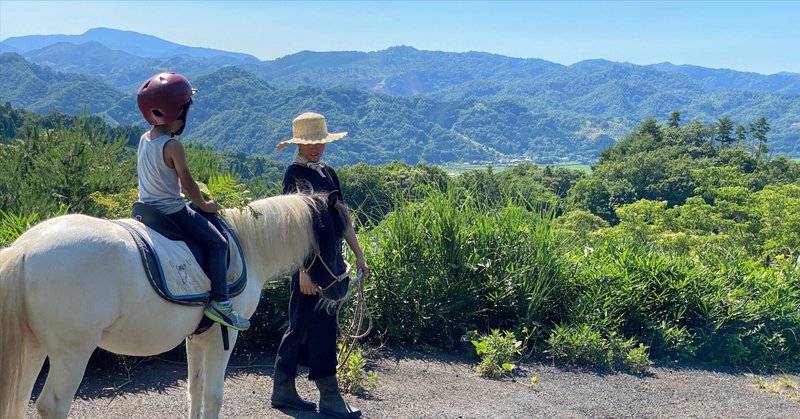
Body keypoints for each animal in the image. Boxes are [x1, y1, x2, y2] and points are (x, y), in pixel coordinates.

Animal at [0, 192, 354, 418]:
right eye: (337, 238)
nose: (345, 285)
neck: (246, 244)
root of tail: (25, 249)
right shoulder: (225, 337)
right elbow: (213, 395)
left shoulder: (197, 337)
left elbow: (194, 390)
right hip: (71, 354)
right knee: (52, 405)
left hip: (35, 348)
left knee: (19, 399)